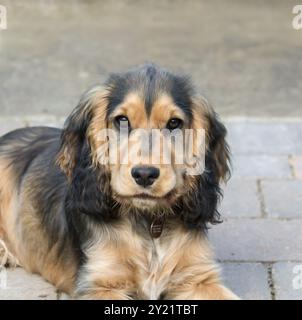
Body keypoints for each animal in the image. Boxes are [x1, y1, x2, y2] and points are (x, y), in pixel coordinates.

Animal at [0, 65, 238, 300]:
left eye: (174, 123)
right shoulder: (100, 283)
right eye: (122, 120)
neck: (149, 223)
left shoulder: (199, 277)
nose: (144, 174)